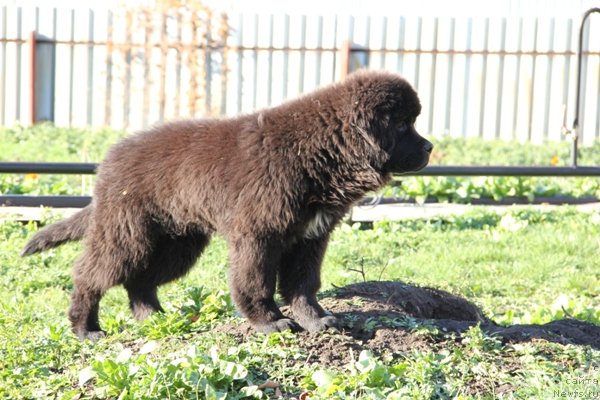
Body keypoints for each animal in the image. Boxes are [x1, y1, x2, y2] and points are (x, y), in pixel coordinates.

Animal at [19, 70, 432, 340]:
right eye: (402, 125)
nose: (429, 148)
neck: (320, 150)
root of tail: (108, 162)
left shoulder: (310, 237)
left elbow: (303, 283)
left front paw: (316, 321)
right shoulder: (260, 233)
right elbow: (255, 281)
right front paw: (269, 324)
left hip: (178, 243)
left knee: (140, 282)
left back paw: (155, 320)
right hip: (128, 232)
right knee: (91, 275)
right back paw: (85, 329)